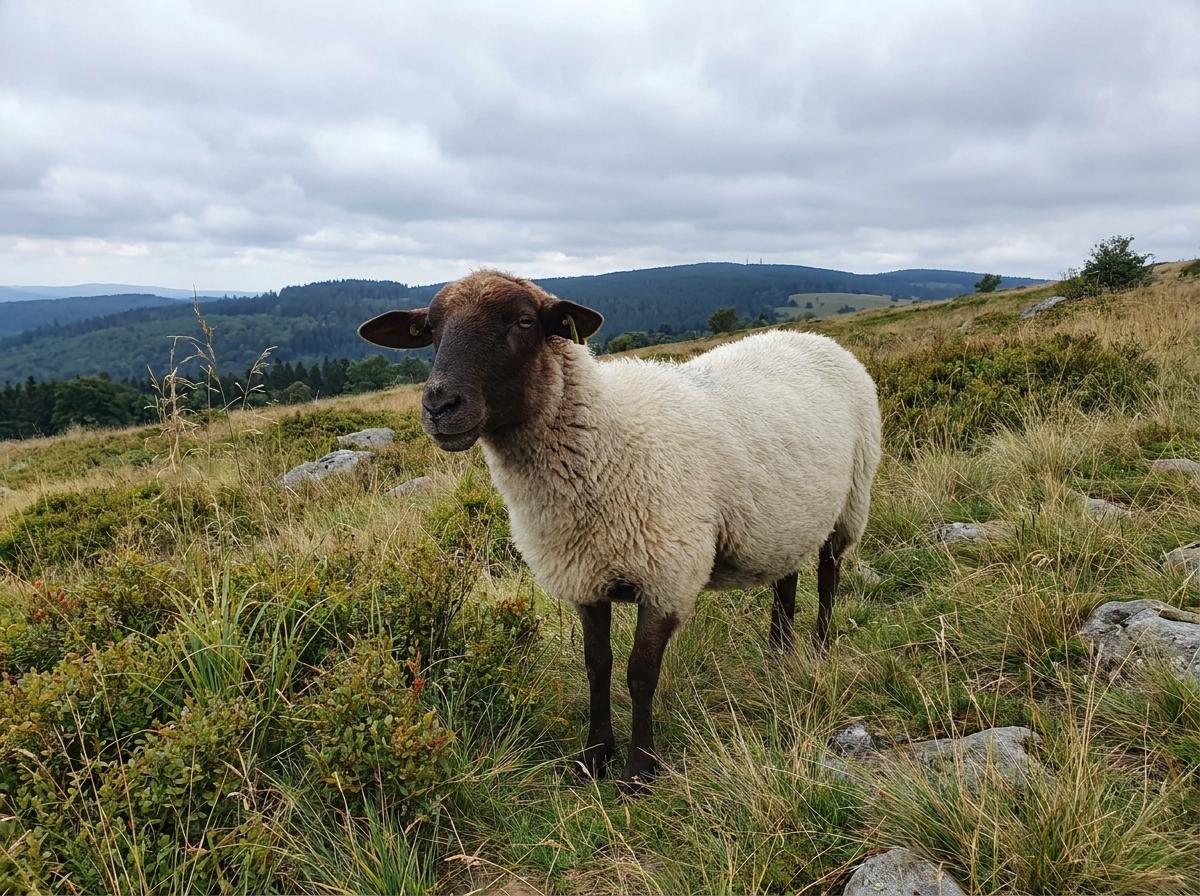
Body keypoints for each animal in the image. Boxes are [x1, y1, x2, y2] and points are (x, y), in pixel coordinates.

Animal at [359, 270, 882, 793]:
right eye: (430, 329)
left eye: (524, 321)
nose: (439, 404)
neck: (608, 441)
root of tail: (811, 337)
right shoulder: (585, 577)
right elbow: (597, 666)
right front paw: (593, 757)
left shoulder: (667, 576)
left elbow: (640, 674)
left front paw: (638, 771)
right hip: (785, 516)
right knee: (786, 577)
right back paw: (778, 652)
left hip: (851, 498)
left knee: (828, 575)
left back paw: (818, 649)